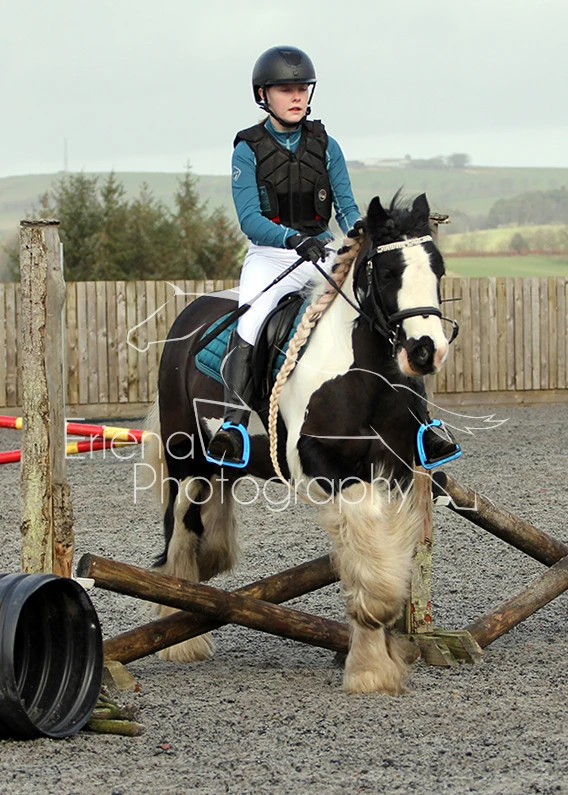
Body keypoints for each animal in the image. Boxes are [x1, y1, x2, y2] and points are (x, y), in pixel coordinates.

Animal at [144, 192, 457, 694]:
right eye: (388, 273)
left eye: (439, 269)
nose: (426, 352)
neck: (362, 375)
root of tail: (187, 322)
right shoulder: (318, 462)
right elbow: (367, 535)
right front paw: (370, 658)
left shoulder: (398, 468)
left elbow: (384, 544)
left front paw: (378, 653)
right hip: (183, 456)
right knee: (179, 528)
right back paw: (179, 635)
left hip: (220, 464)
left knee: (209, 531)